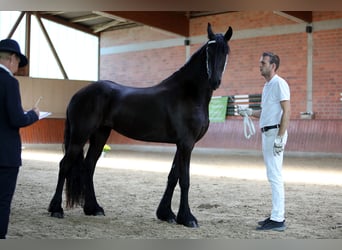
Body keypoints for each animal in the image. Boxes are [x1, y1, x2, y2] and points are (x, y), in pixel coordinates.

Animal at [48, 23, 232, 229]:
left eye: (225, 51)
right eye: (209, 50)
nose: (214, 81)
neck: (188, 94)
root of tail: (78, 94)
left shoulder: (181, 144)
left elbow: (173, 177)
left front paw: (166, 214)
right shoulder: (186, 144)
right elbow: (184, 180)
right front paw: (187, 218)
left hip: (100, 134)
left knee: (89, 166)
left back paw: (93, 208)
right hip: (80, 135)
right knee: (65, 165)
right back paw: (56, 209)